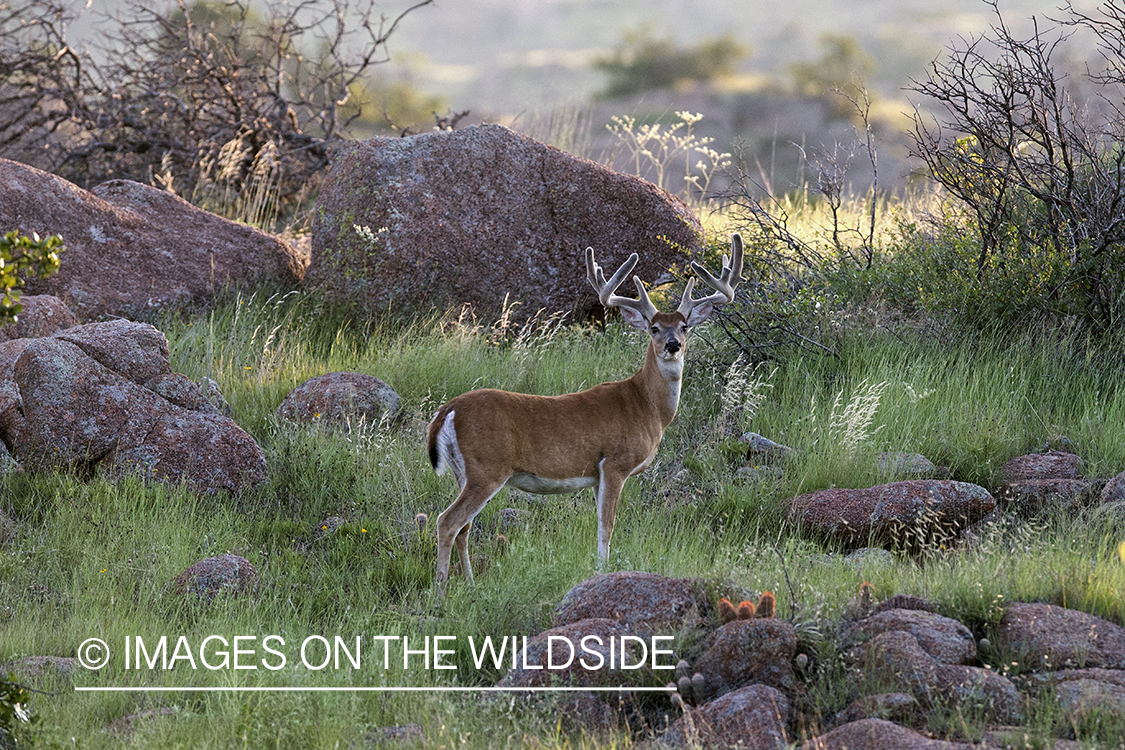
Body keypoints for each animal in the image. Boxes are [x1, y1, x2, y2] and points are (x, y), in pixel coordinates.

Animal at [425, 231, 742, 589]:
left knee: (463, 527)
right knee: (447, 521)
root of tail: (446, 411)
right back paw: (440, 589)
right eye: (654, 328)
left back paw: (469, 583)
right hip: (487, 468)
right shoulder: (615, 463)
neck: (647, 406)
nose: (672, 345)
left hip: (462, 472)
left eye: (685, 326)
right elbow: (607, 526)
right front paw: (603, 570)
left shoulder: (594, 476)